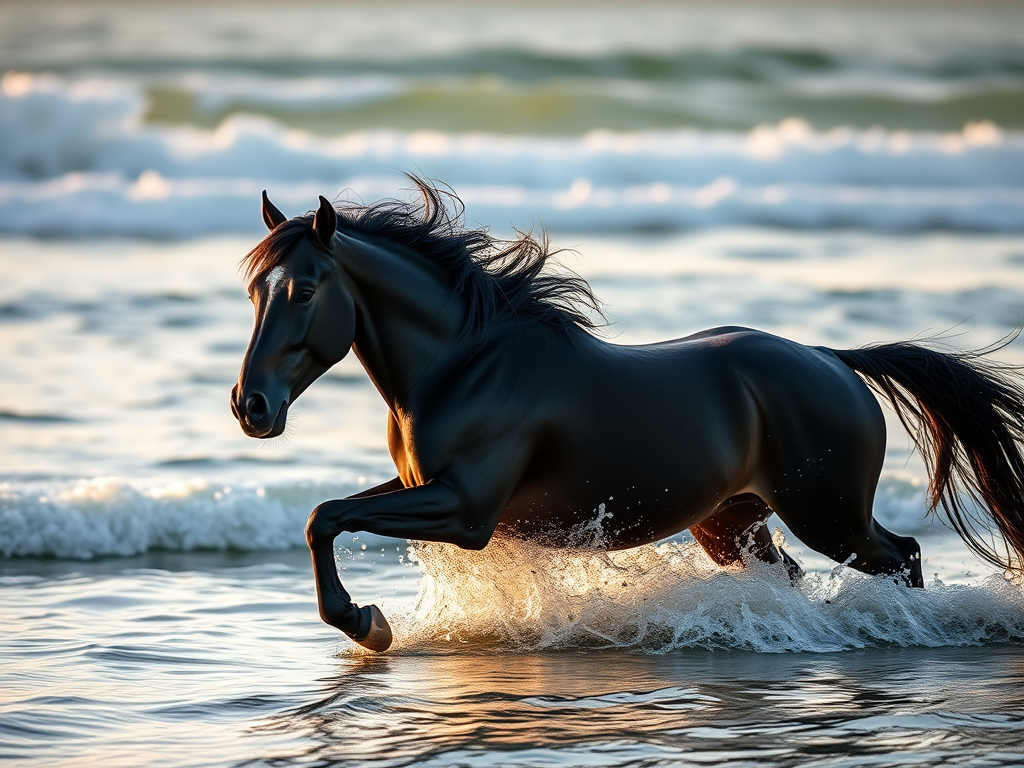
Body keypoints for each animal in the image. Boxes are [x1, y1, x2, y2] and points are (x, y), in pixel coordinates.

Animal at [232, 179, 1024, 652]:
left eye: (305, 289)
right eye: (252, 291)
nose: (251, 406)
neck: (464, 365)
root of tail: (833, 359)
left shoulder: (465, 509)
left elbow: (327, 516)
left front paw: (365, 623)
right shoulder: (423, 488)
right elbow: (324, 516)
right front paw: (368, 622)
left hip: (829, 514)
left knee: (905, 556)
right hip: (732, 525)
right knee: (797, 577)